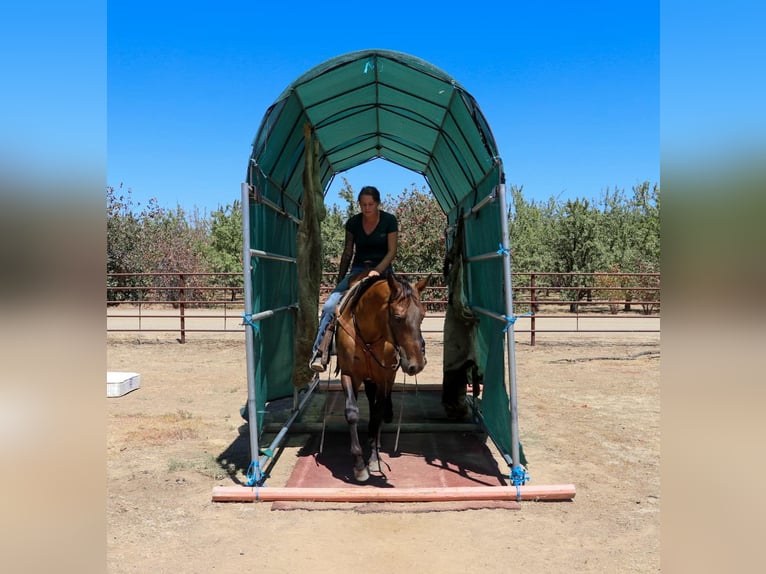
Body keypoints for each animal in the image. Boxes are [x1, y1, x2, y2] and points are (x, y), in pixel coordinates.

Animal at [336, 272, 432, 484]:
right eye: (397, 317)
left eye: (422, 316)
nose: (417, 364)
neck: (368, 334)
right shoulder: (349, 374)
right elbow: (352, 412)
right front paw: (359, 465)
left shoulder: (382, 378)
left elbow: (377, 415)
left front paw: (373, 458)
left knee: (378, 409)